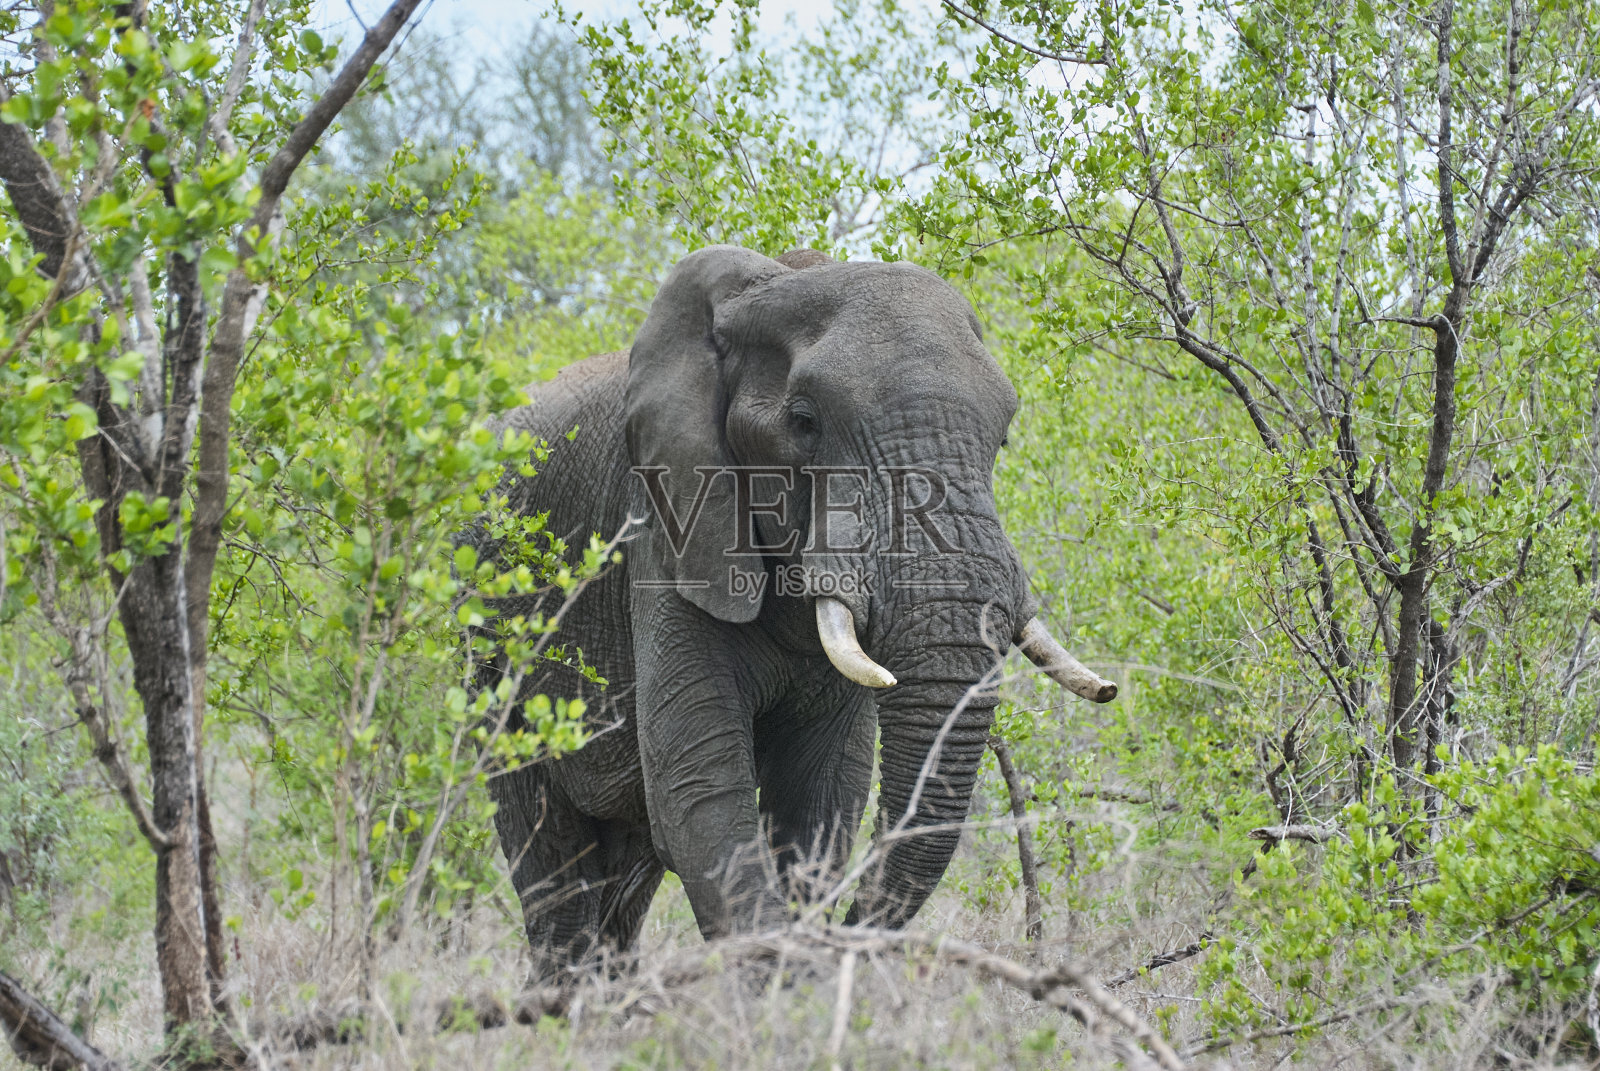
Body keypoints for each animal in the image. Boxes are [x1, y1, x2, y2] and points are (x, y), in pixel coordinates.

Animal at [466, 245, 1114, 983]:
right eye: (804, 422)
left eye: (1002, 439)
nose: (856, 939)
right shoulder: (666, 525)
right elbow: (698, 789)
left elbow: (820, 798)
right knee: (548, 849)